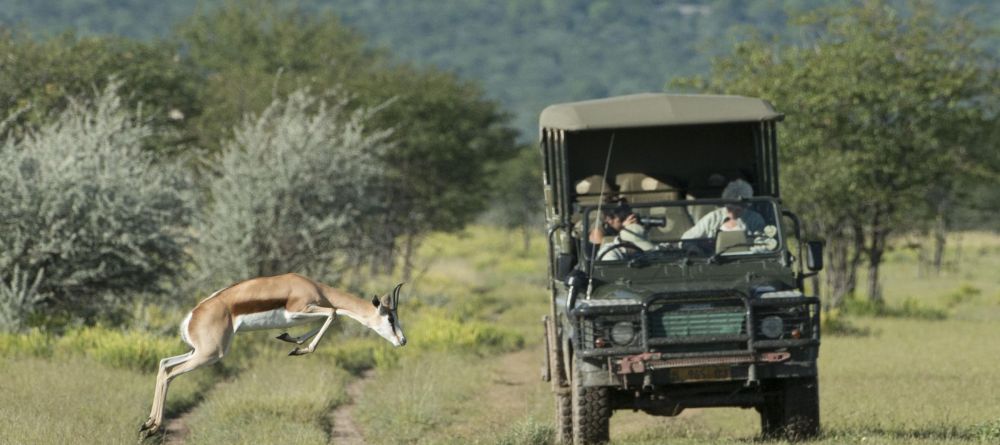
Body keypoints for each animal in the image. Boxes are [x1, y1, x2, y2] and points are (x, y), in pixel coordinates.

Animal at [139, 272, 404, 436]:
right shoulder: (300, 309)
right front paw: (301, 348)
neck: (312, 287)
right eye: (390, 318)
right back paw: (151, 428)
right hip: (210, 354)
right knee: (171, 371)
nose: (403, 340)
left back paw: (148, 425)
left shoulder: (305, 314)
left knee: (164, 364)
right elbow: (334, 313)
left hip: (197, 351)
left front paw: (291, 341)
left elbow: (331, 314)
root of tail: (192, 316)